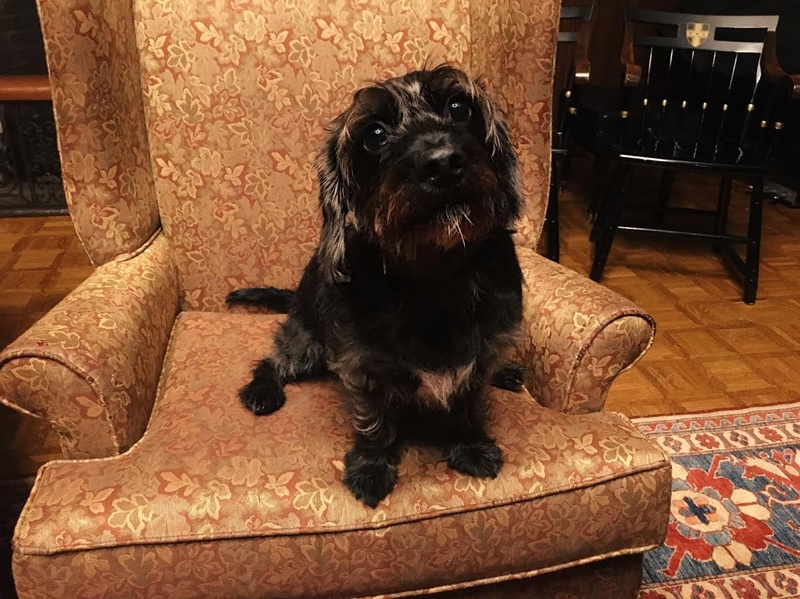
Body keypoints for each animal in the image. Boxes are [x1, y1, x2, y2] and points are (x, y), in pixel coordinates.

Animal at [227, 65, 525, 508]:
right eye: (375, 134)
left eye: (459, 107)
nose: (443, 163)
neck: (433, 279)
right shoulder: (361, 367)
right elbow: (374, 423)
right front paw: (371, 470)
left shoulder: (482, 355)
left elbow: (468, 404)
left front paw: (470, 446)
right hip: (305, 345)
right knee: (273, 361)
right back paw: (263, 390)